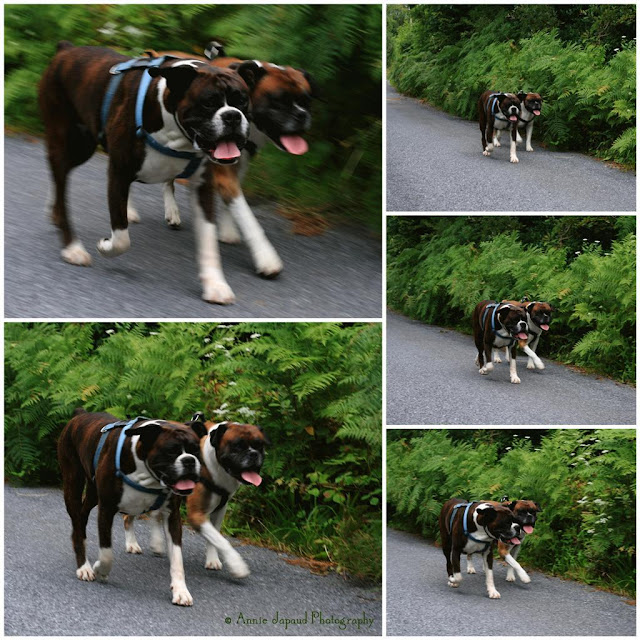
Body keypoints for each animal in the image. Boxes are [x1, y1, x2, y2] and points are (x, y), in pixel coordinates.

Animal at [38, 40, 255, 304]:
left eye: (242, 100)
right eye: (208, 102)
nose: (232, 116)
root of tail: (66, 49)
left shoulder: (202, 187)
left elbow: (208, 239)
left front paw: (215, 284)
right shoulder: (119, 172)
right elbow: (121, 237)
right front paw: (106, 246)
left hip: (83, 147)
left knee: (59, 176)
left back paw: (54, 210)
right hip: (69, 142)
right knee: (60, 180)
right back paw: (72, 247)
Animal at [59, 410, 202, 604]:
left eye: (196, 450)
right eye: (170, 451)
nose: (189, 460)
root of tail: (81, 413)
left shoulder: (172, 516)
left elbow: (177, 558)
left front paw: (180, 590)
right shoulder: (106, 509)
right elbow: (107, 553)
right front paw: (100, 570)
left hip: (93, 493)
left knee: (83, 516)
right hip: (72, 484)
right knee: (78, 519)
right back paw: (84, 567)